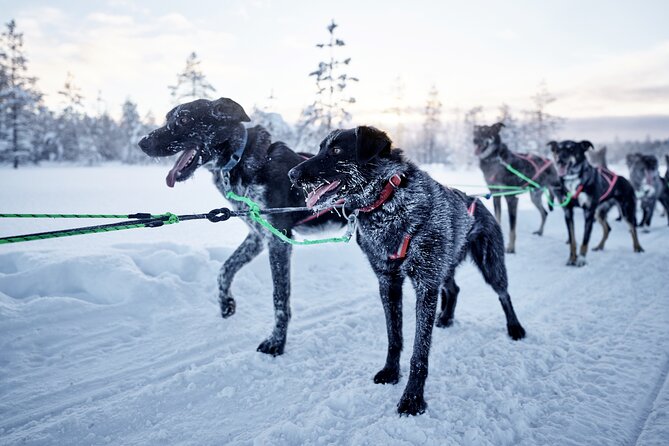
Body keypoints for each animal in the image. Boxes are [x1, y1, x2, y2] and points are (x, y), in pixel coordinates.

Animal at [138, 96, 342, 356]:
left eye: (183, 119)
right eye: (167, 118)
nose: (142, 142)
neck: (243, 160)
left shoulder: (278, 240)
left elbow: (279, 297)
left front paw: (276, 342)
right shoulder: (257, 237)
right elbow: (225, 269)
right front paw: (226, 303)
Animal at [286, 127, 520, 416]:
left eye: (337, 150)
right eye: (319, 149)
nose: (292, 174)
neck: (388, 205)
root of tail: (477, 201)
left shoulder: (426, 285)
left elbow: (420, 351)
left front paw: (412, 398)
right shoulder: (388, 282)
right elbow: (394, 336)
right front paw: (390, 371)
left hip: (489, 265)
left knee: (503, 294)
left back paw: (515, 328)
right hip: (444, 267)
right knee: (454, 288)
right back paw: (446, 318)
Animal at [472, 123, 560, 253]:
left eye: (487, 132)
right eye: (476, 133)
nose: (475, 140)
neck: (495, 161)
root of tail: (550, 162)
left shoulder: (511, 198)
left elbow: (512, 227)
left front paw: (511, 248)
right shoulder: (496, 195)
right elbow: (497, 218)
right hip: (535, 196)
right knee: (544, 213)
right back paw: (540, 232)